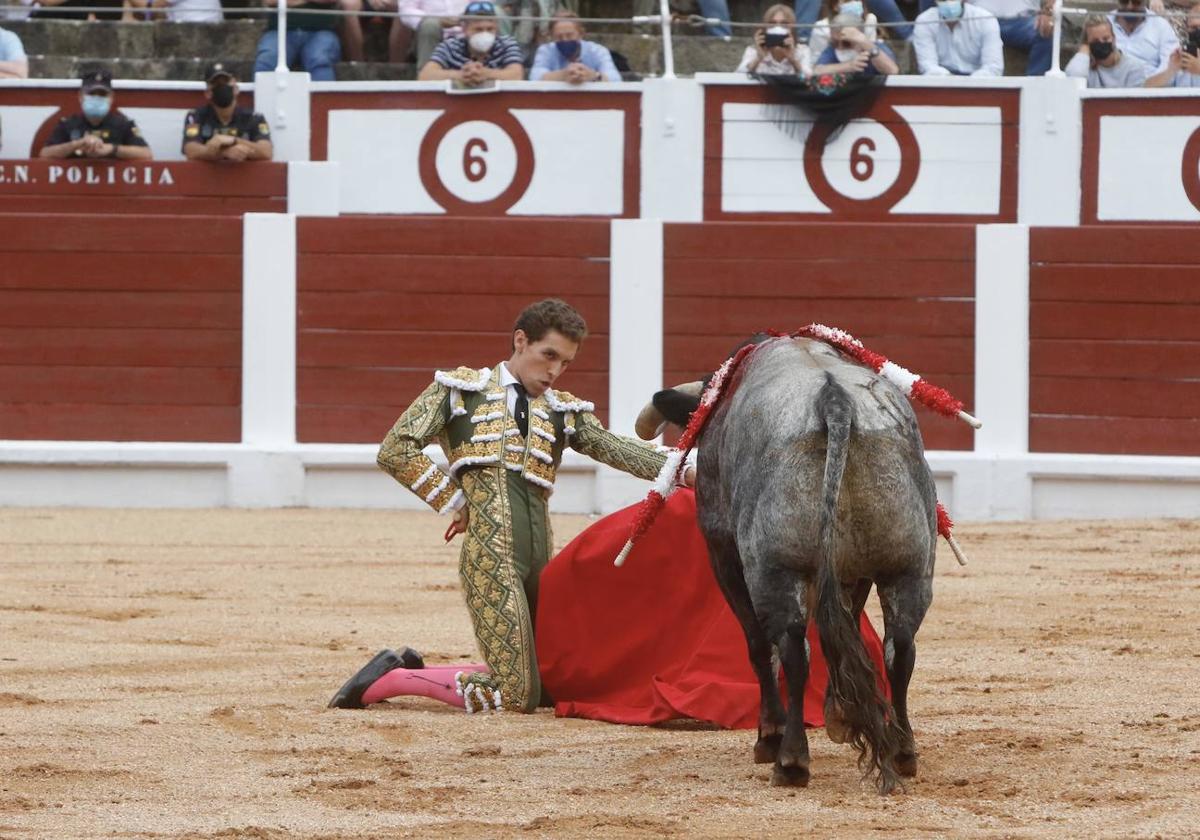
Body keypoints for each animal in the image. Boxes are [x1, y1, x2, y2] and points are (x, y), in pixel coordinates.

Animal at [648, 333, 936, 792]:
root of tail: (835, 401)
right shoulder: (850, 572)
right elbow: (847, 627)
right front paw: (840, 713)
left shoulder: (723, 552)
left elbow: (758, 645)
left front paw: (770, 735)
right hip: (908, 567)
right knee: (900, 649)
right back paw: (903, 750)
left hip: (775, 570)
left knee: (791, 650)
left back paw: (790, 758)